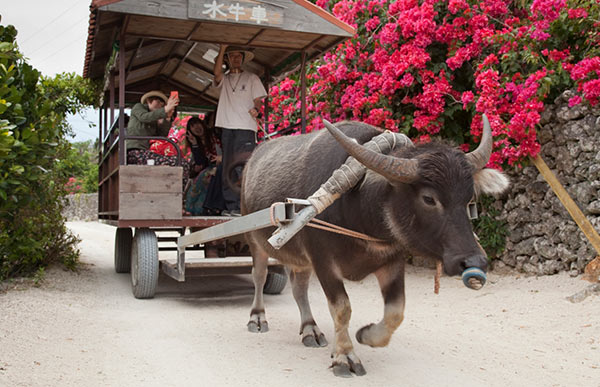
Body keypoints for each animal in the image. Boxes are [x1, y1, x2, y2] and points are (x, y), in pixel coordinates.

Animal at [241, 116, 508, 378]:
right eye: (429, 199)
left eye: (469, 199)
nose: (474, 262)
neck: (360, 213)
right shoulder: (323, 261)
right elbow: (341, 308)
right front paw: (345, 356)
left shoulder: (392, 261)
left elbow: (396, 311)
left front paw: (366, 335)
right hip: (255, 241)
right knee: (259, 275)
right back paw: (257, 318)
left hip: (299, 258)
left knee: (299, 288)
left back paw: (310, 330)